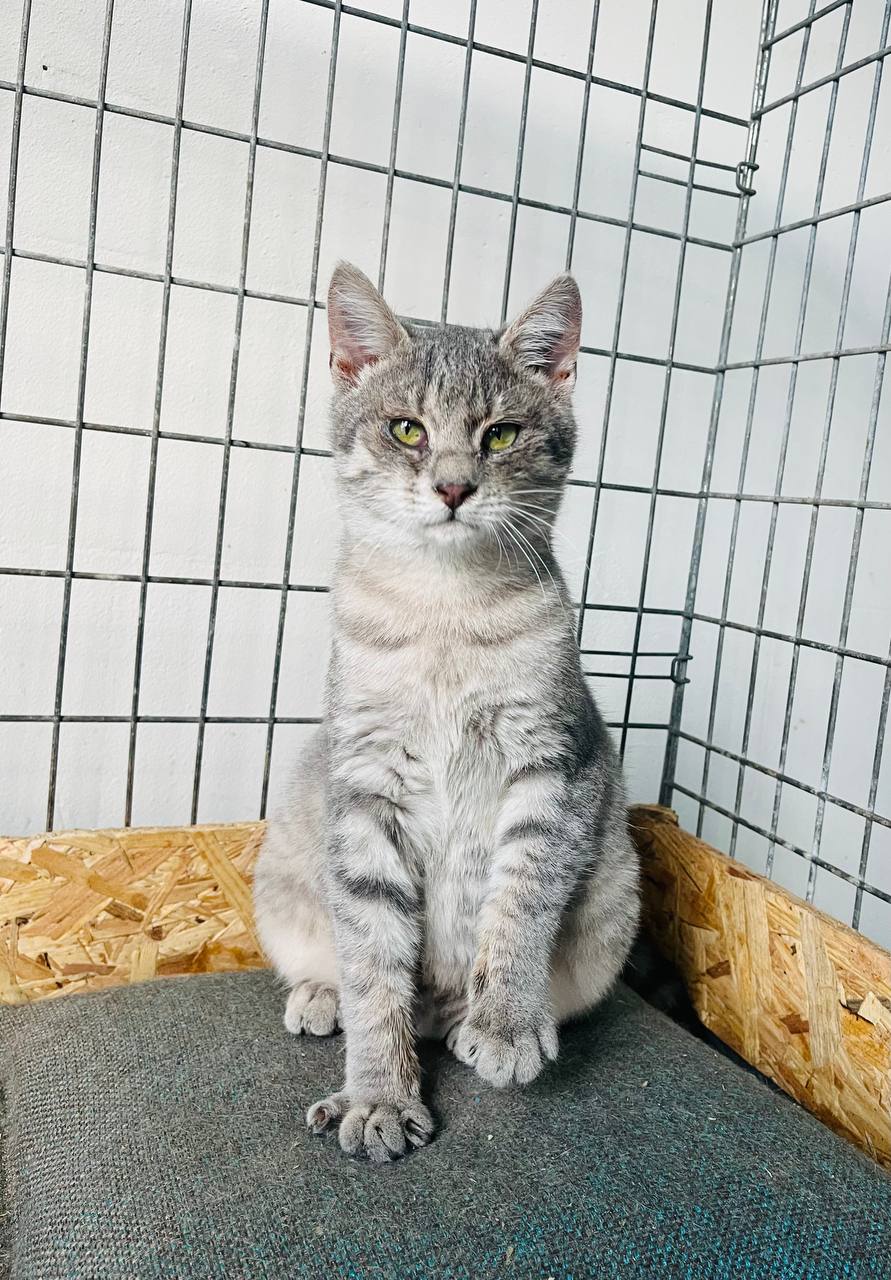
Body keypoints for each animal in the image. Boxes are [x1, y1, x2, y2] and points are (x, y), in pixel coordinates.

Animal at [253, 262, 640, 1162]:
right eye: (406, 430)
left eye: (499, 435)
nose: (454, 487)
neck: (443, 615)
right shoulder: (363, 785)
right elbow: (373, 963)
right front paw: (377, 1095)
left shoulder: (553, 765)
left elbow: (520, 902)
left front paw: (505, 1021)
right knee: (343, 968)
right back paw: (322, 996)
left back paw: (468, 1019)